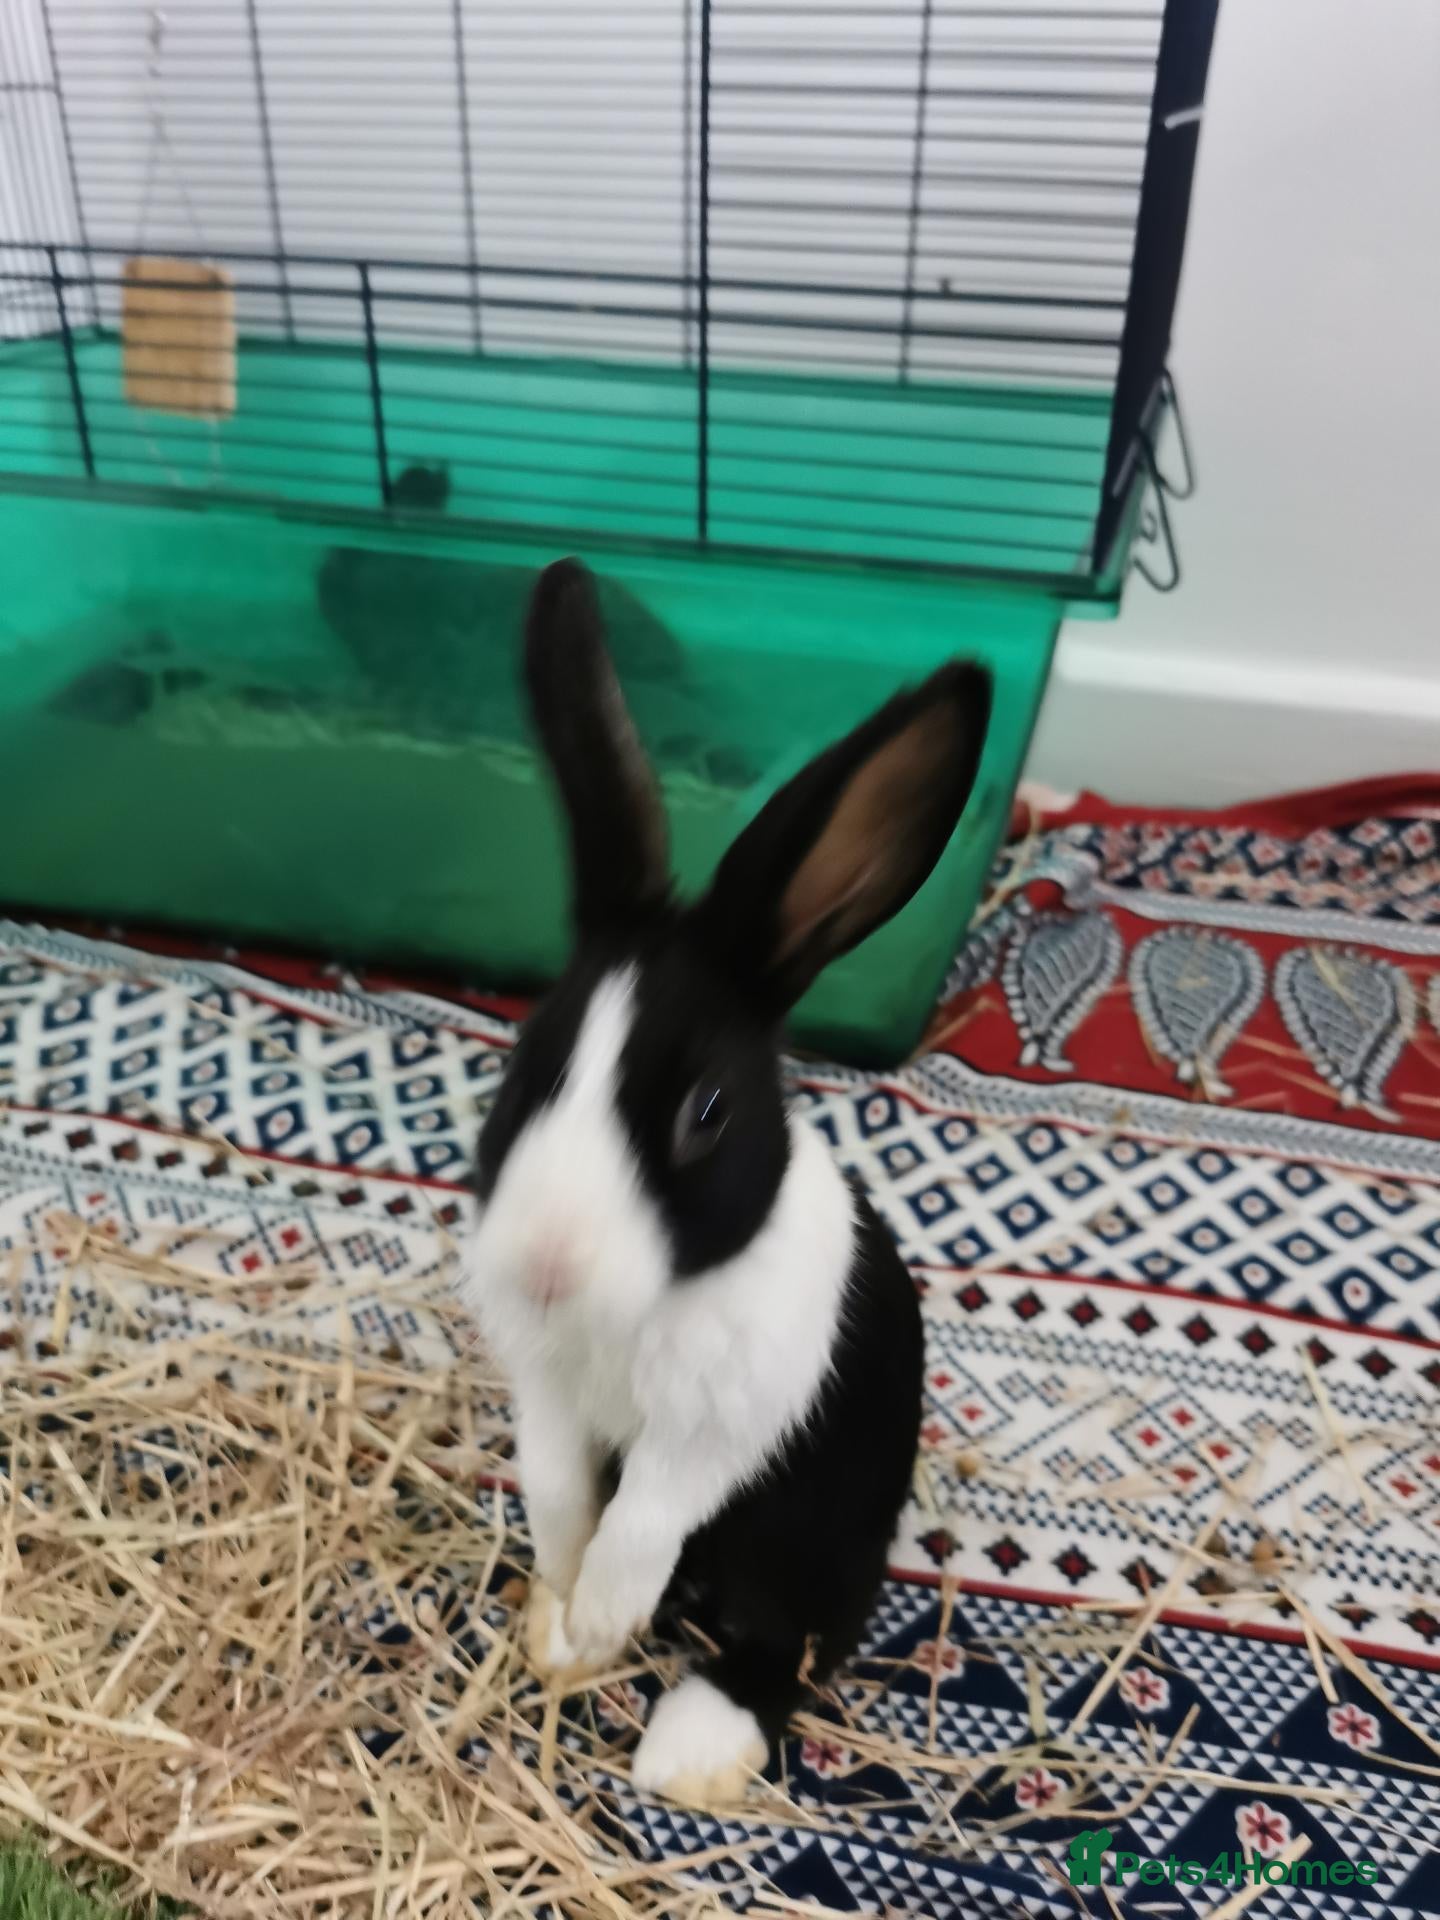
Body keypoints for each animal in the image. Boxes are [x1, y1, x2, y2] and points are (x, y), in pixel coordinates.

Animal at [462, 557, 991, 1808]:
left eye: (706, 1112)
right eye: (525, 1066)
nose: (546, 1265)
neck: (636, 1312)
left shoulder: (714, 1435)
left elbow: (642, 1520)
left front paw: (602, 1621)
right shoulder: (548, 1400)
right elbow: (561, 1496)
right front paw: (565, 1620)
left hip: (815, 1546)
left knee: (788, 1645)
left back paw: (688, 1752)